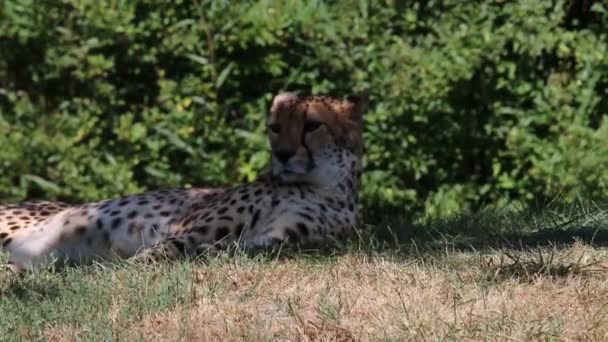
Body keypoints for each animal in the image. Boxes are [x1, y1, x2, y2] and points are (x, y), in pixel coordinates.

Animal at [0, 91, 370, 272]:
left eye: (312, 125)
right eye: (276, 127)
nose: (282, 154)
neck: (321, 186)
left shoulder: (285, 240)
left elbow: (235, 247)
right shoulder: (186, 228)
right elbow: (166, 248)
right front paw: (124, 267)